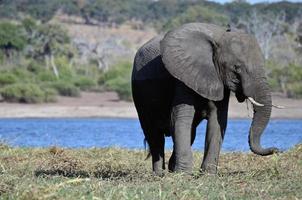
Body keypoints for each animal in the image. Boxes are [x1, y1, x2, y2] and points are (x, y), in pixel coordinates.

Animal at [131, 23, 280, 175]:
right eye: (236, 68)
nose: (276, 149)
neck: (219, 37)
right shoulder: (184, 75)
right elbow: (180, 119)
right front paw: (184, 174)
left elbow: (217, 120)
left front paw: (208, 174)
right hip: (140, 95)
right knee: (154, 134)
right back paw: (159, 174)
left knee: (189, 133)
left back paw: (171, 169)